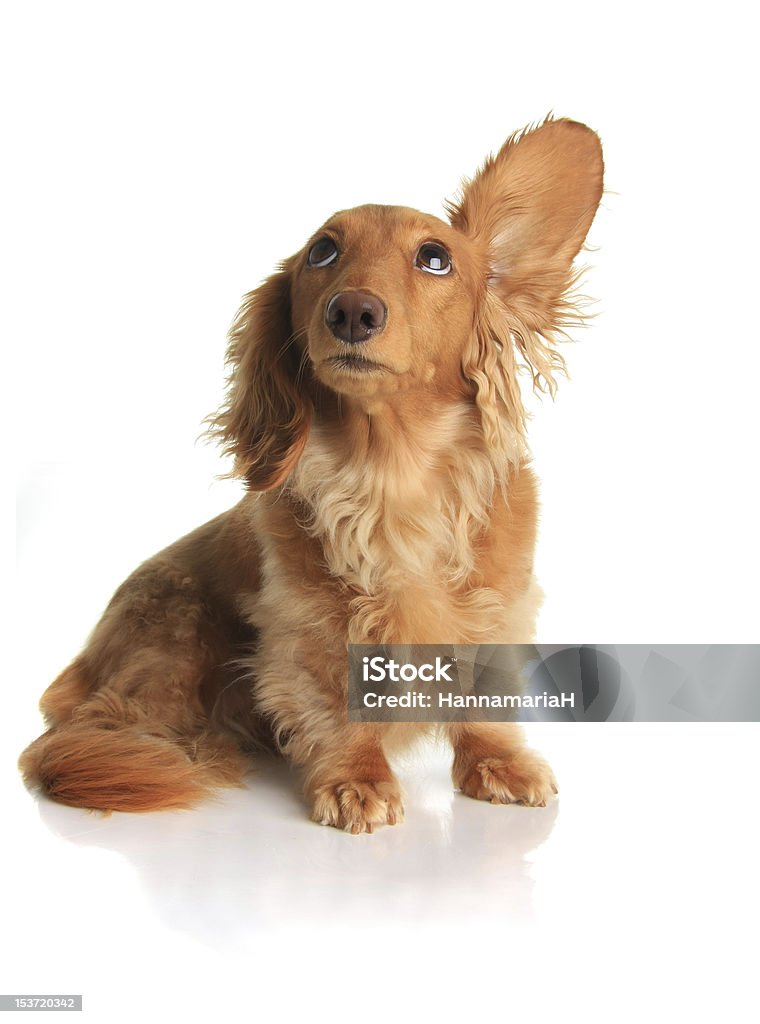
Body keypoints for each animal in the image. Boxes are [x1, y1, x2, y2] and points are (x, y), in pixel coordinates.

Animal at [19, 116, 606, 831]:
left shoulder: (497, 607)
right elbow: (333, 709)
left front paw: (498, 764)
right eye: (322, 252)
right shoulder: (310, 629)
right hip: (178, 625)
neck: (390, 475)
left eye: (435, 258)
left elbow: (483, 696)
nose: (352, 311)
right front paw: (356, 780)